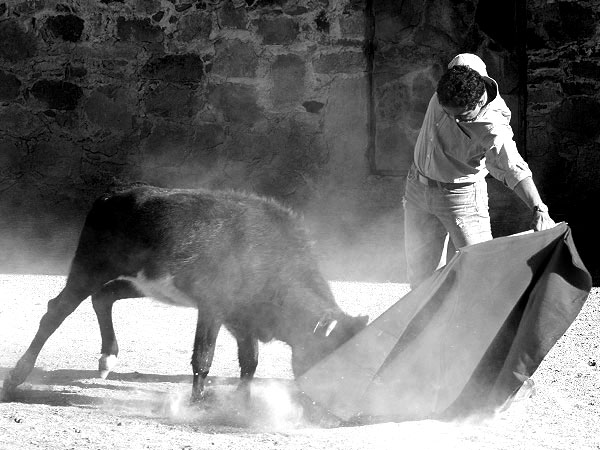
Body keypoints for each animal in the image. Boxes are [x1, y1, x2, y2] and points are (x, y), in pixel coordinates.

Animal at [2, 186, 368, 400]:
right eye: (332, 357)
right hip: (90, 268)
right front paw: (196, 403)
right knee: (57, 310)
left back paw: (108, 358)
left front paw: (241, 402)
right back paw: (17, 376)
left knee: (104, 297)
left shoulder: (241, 320)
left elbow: (249, 362)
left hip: (139, 281)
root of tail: (108, 199)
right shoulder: (213, 308)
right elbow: (203, 357)